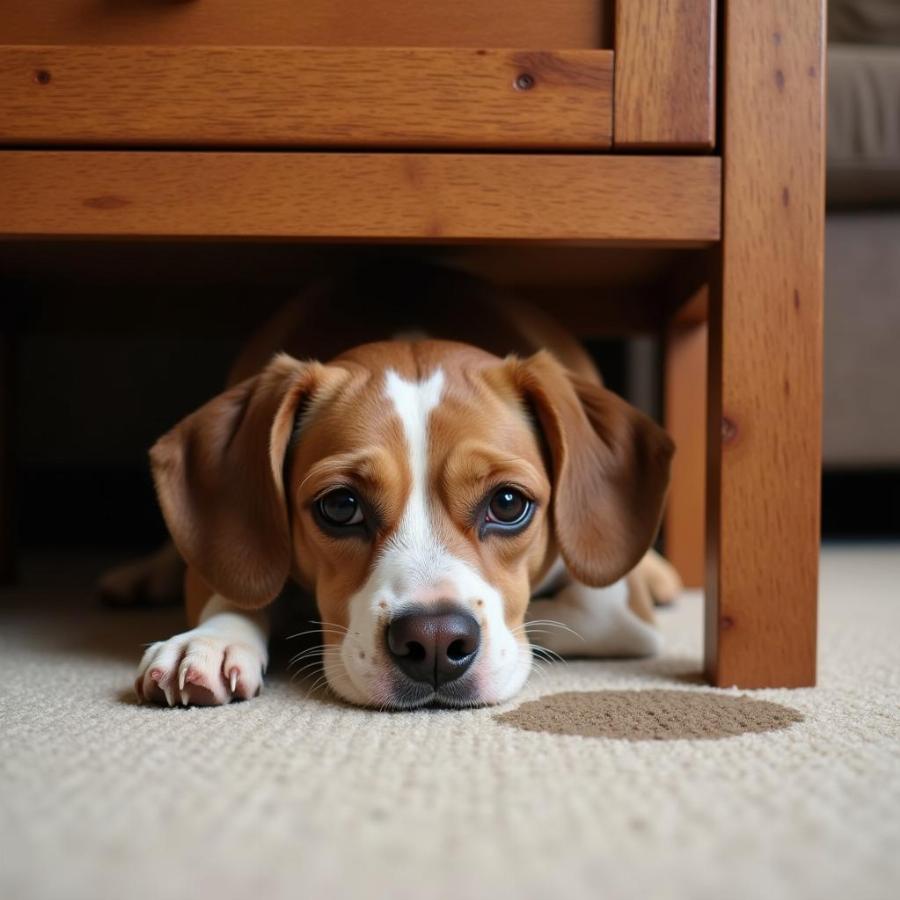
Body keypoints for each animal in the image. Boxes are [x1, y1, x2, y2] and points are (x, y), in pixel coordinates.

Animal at [125, 262, 676, 712]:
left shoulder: (618, 612)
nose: (434, 642)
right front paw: (212, 640)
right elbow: (243, 591)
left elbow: (549, 622)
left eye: (508, 503)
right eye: (340, 505)